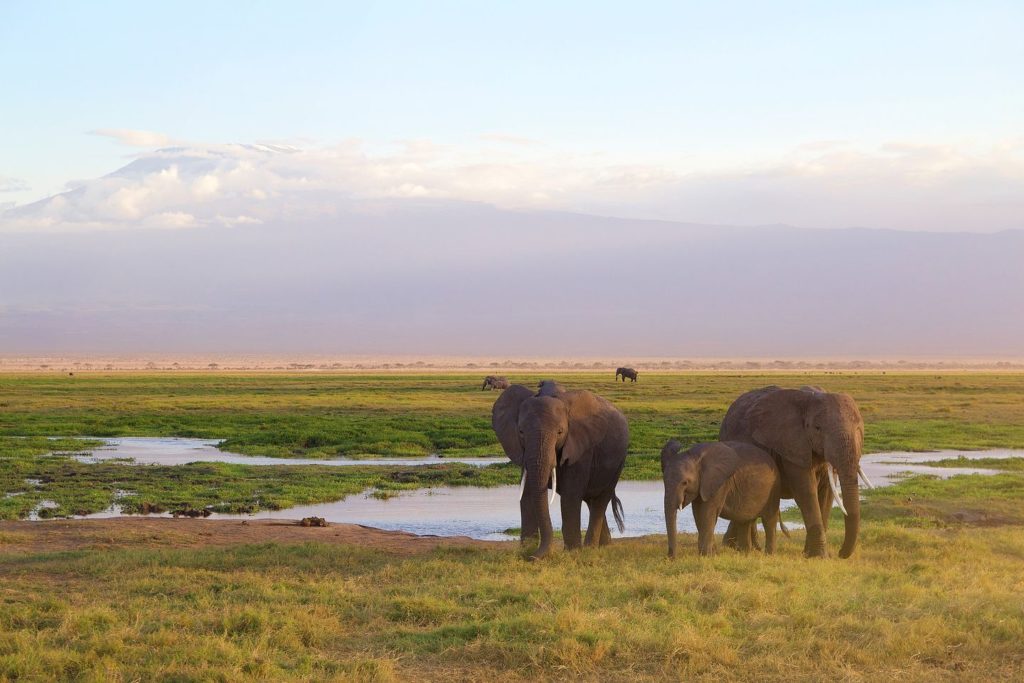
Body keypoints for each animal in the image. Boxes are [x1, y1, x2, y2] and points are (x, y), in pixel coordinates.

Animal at [492, 380, 629, 560]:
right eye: (521, 432)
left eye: (560, 432)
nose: (532, 557)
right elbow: (527, 493)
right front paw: (526, 549)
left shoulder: (581, 448)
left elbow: (570, 496)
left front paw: (572, 553)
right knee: (591, 502)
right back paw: (604, 546)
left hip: (618, 462)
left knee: (600, 501)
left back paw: (590, 548)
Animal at [719, 386, 872, 558]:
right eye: (818, 428)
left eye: (859, 428)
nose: (840, 553)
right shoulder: (791, 446)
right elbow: (806, 491)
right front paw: (819, 556)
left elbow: (827, 493)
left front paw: (811, 555)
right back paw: (737, 547)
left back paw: (745, 547)